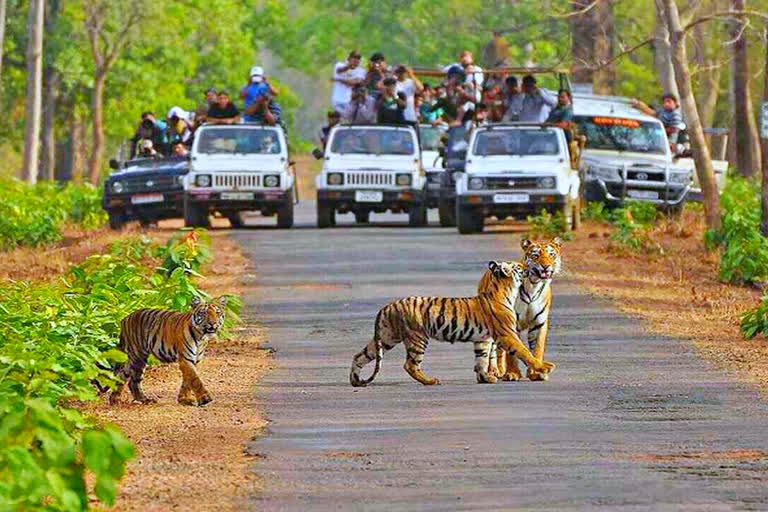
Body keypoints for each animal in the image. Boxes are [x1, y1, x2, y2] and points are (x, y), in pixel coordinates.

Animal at [350, 262, 560, 386]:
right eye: (518, 266)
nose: (527, 264)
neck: (504, 290)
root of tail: (387, 306)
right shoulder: (507, 334)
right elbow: (525, 352)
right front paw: (544, 367)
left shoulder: (483, 339)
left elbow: (482, 359)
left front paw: (485, 378)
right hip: (417, 337)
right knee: (410, 365)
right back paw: (430, 381)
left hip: (387, 337)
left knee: (360, 355)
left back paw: (355, 380)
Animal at [486, 238, 564, 382]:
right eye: (535, 255)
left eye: (551, 255)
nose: (545, 266)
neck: (533, 285)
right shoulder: (510, 323)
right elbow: (512, 352)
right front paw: (512, 373)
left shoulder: (539, 323)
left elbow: (537, 348)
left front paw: (537, 373)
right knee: (494, 350)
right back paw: (495, 371)